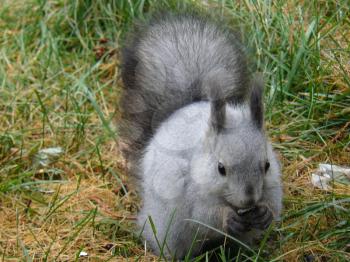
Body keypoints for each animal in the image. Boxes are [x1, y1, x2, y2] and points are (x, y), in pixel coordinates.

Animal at [119, 12, 284, 260]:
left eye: (266, 165)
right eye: (220, 168)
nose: (249, 199)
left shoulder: (272, 184)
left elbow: (274, 204)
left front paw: (264, 213)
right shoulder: (192, 194)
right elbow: (203, 216)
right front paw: (227, 217)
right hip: (168, 229)